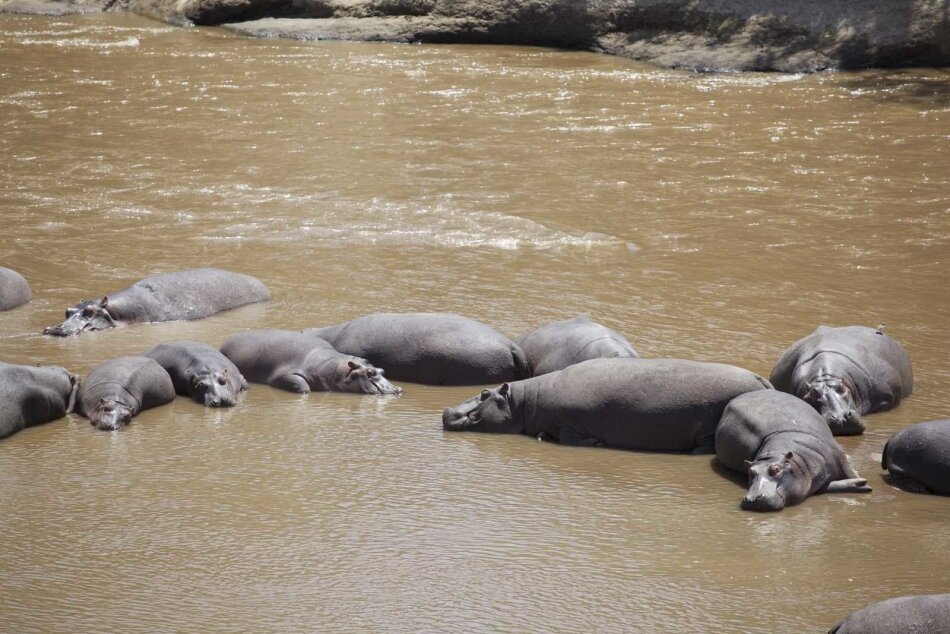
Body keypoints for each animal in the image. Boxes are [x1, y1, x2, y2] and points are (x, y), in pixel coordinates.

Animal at [220, 329, 402, 395]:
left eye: (382, 370)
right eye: (370, 373)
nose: (396, 389)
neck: (338, 370)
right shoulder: (287, 374)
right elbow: (303, 388)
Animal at [442, 357, 771, 453]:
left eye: (485, 393)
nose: (446, 410)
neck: (526, 402)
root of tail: (762, 381)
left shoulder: (572, 422)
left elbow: (570, 438)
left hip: (705, 428)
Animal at [715, 390, 871, 512]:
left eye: (776, 469)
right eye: (751, 473)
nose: (753, 499)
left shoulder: (838, 457)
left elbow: (849, 472)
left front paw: (863, 483)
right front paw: (860, 484)